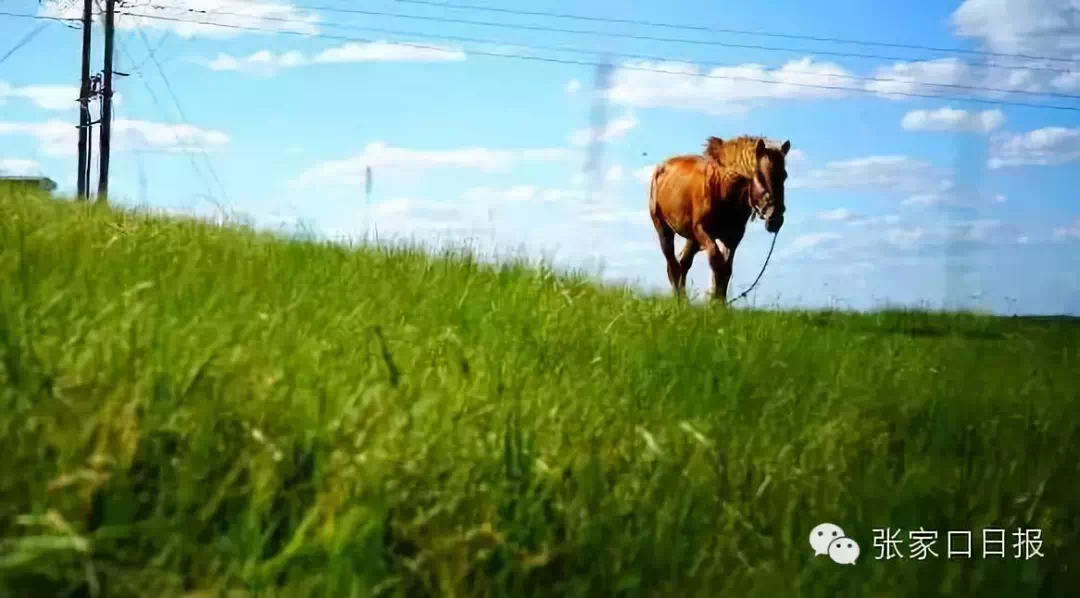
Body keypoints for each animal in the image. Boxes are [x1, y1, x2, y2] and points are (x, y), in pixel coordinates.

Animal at [648, 136, 794, 300]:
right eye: (759, 175)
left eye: (785, 175)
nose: (775, 217)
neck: (722, 190)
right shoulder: (703, 231)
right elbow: (716, 261)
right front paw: (714, 299)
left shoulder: (732, 239)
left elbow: (726, 270)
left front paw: (719, 301)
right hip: (664, 230)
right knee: (672, 265)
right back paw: (679, 300)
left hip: (692, 239)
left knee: (683, 263)